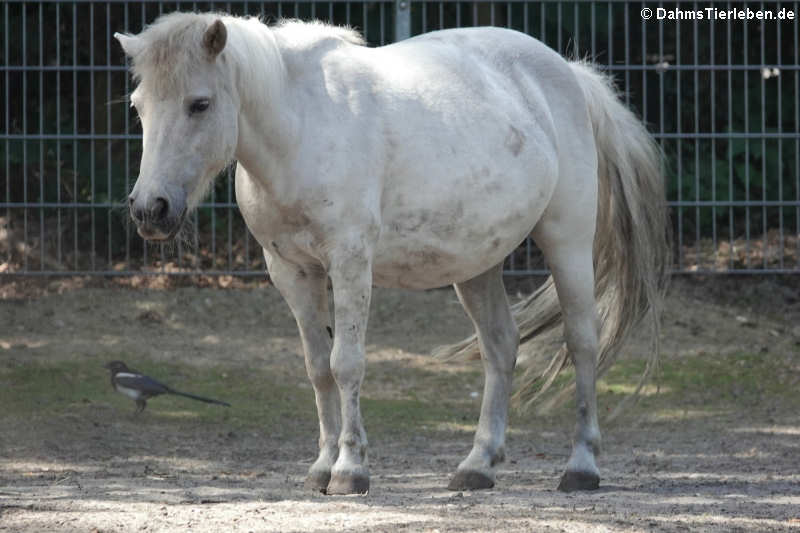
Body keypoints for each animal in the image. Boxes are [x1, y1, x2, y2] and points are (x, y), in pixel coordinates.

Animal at [117, 12, 668, 494]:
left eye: (200, 104)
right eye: (139, 105)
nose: (150, 209)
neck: (301, 128)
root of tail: (570, 74)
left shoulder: (350, 262)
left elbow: (346, 363)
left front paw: (349, 471)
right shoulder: (291, 271)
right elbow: (317, 367)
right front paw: (321, 467)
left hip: (566, 240)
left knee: (582, 342)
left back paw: (581, 467)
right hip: (476, 264)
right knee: (500, 346)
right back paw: (477, 466)